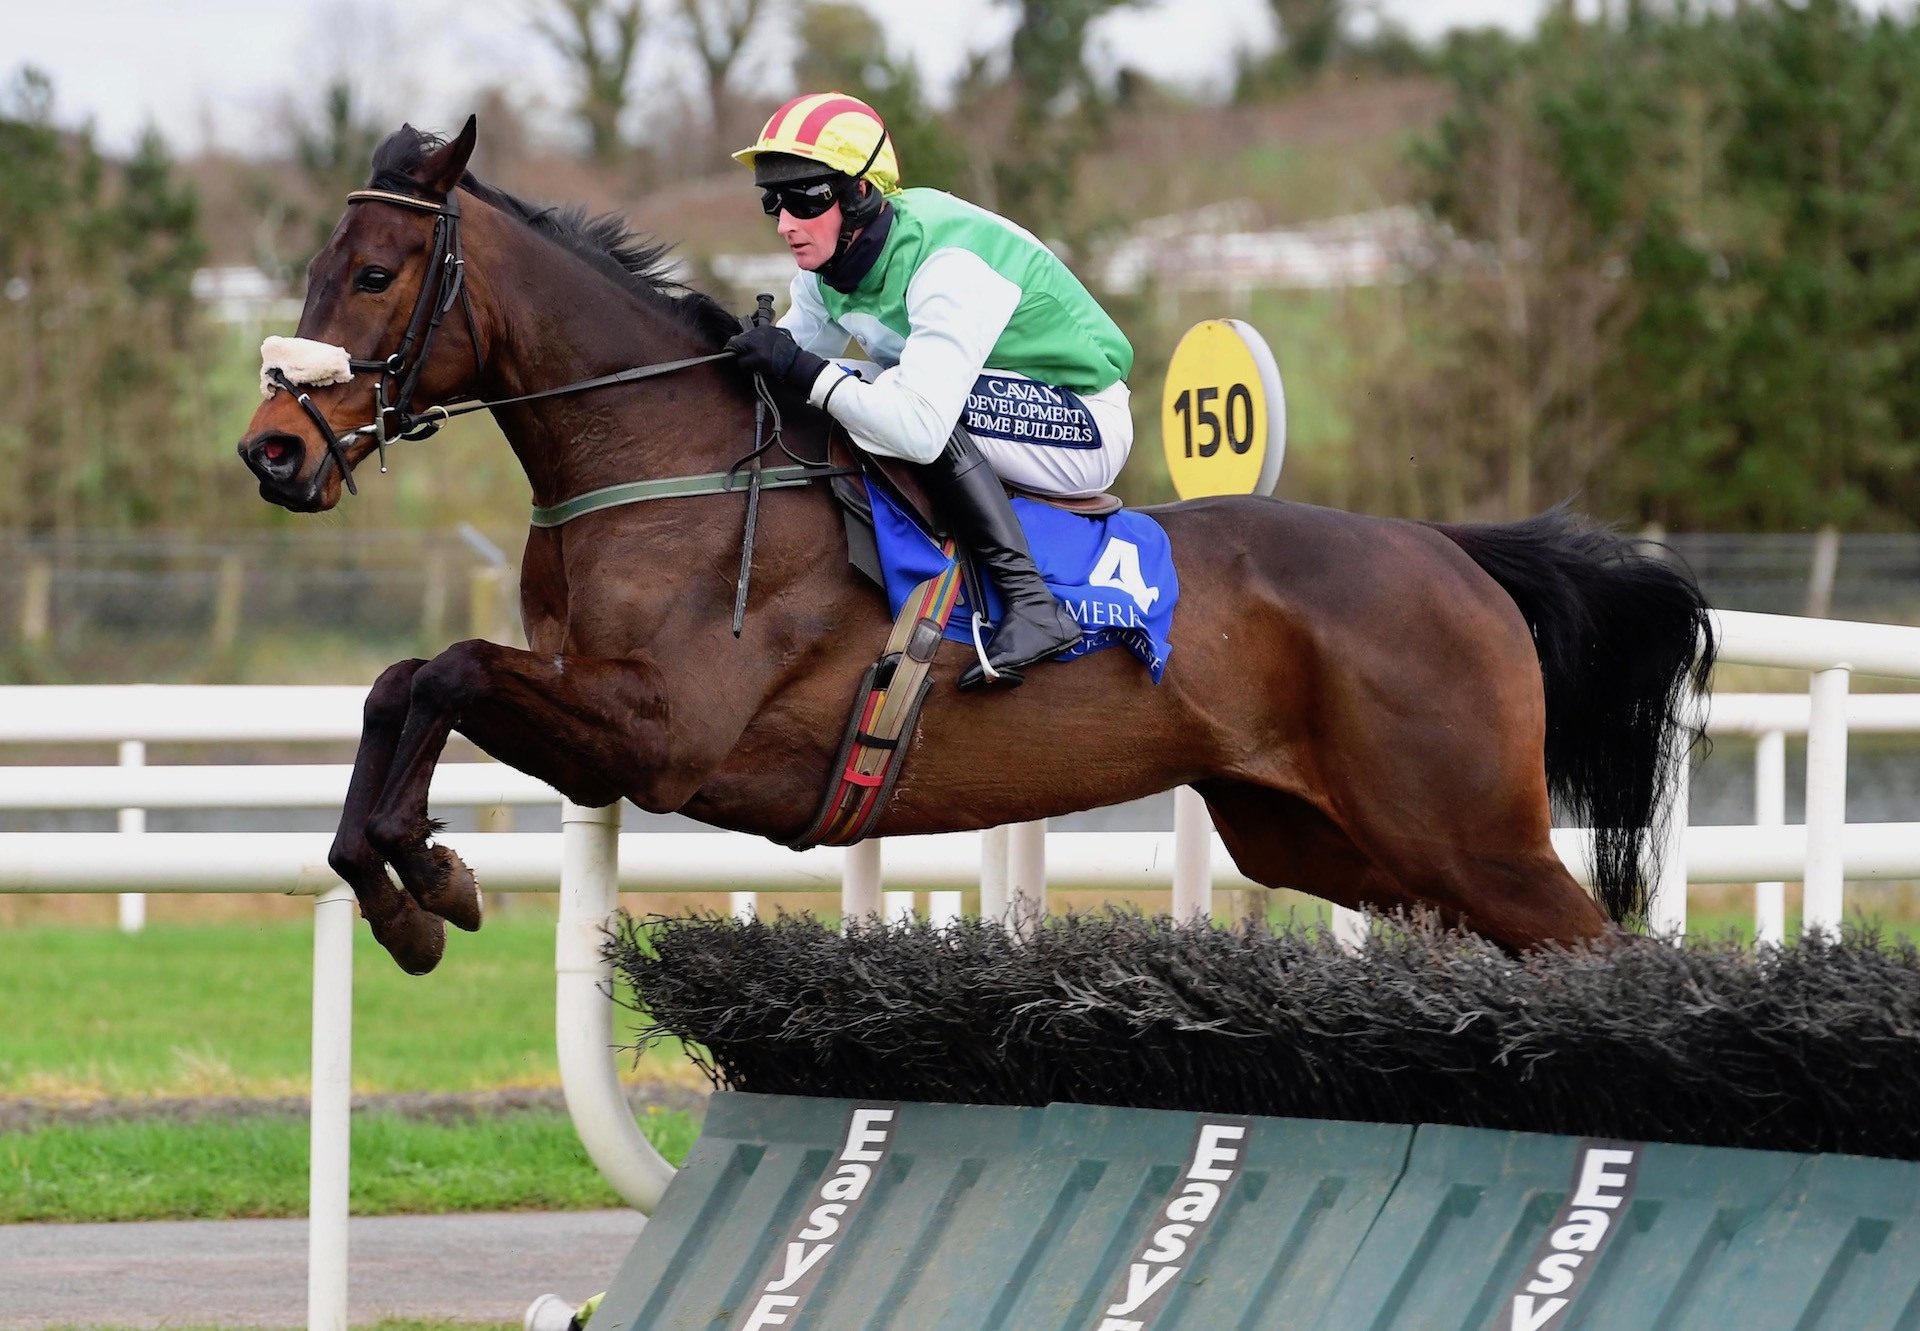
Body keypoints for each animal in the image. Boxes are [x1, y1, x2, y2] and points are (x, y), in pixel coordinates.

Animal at [232, 121, 1720, 975]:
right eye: (310, 266)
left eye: (375, 274)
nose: (273, 452)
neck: (671, 461)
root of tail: (1454, 558)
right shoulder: (598, 725)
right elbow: (403, 680)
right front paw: (407, 880)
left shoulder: (664, 732)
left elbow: (449, 669)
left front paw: (426, 884)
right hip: (1334, 837)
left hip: (1472, 831)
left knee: (1606, 950)